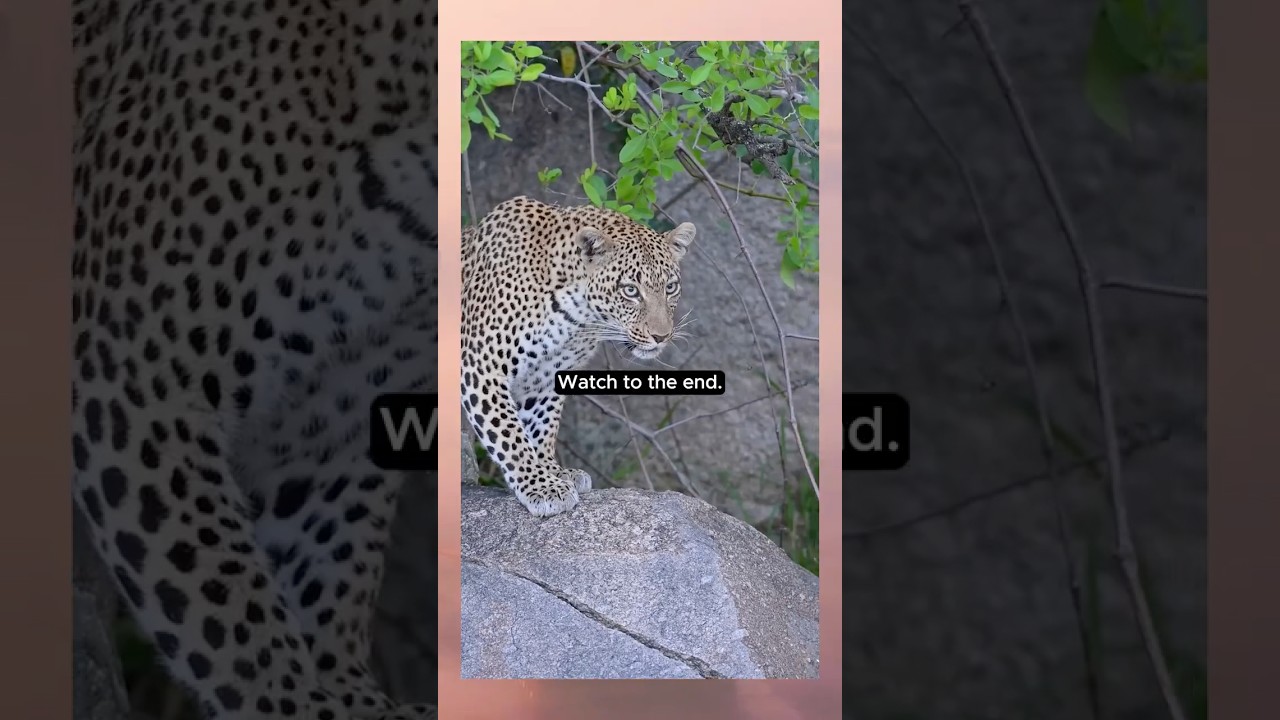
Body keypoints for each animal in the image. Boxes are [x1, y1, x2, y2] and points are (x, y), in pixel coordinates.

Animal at [71, 1, 440, 718]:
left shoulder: (337, 419)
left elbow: (325, 558)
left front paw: (346, 688)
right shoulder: (136, 374)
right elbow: (225, 601)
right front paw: (300, 701)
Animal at [460, 196, 696, 518]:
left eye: (670, 287)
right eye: (630, 290)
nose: (661, 336)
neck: (577, 316)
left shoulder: (545, 377)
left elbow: (541, 426)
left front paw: (552, 471)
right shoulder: (481, 366)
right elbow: (509, 432)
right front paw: (540, 485)